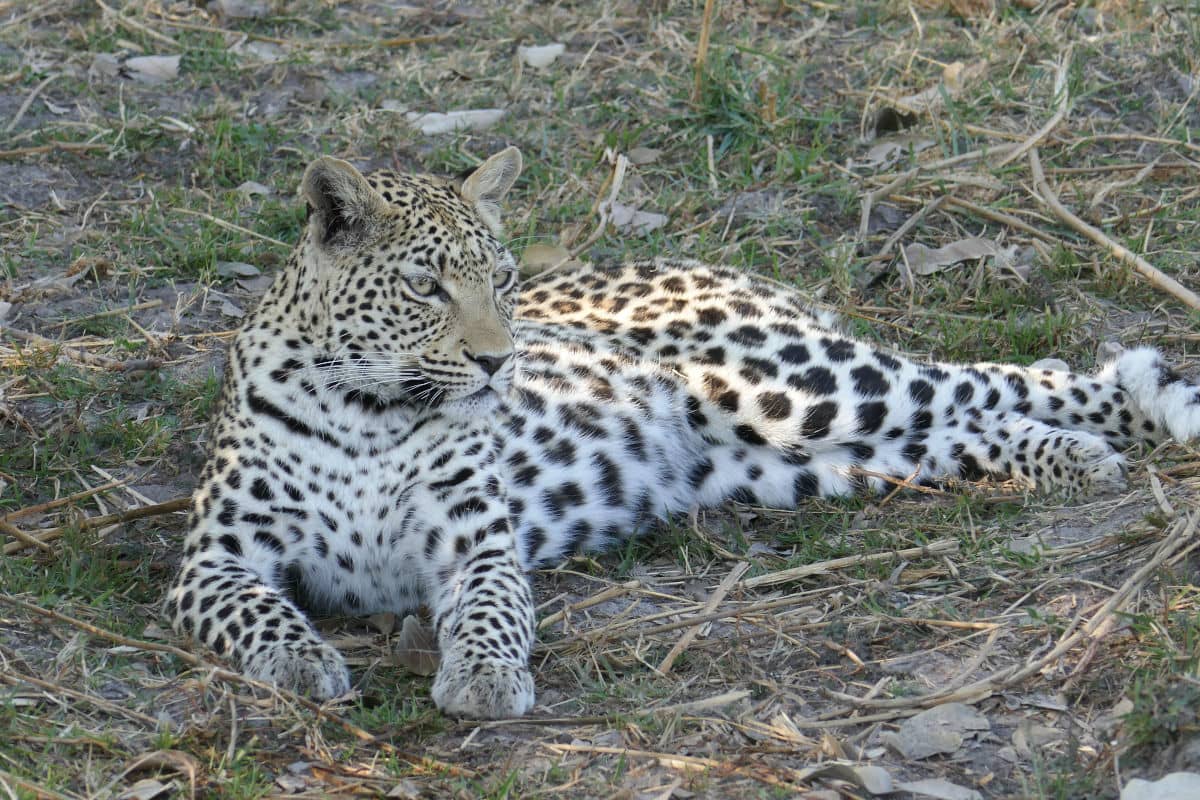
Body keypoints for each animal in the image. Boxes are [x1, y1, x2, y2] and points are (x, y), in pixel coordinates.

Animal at [167, 146, 1200, 719]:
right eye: (424, 287)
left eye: (501, 278)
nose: (501, 361)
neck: (373, 416)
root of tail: (728, 267)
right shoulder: (212, 562)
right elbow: (259, 608)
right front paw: (304, 660)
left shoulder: (479, 549)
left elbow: (496, 613)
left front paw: (486, 682)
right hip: (797, 456)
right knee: (967, 422)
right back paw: (1070, 457)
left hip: (785, 383)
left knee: (1013, 377)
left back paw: (1140, 415)